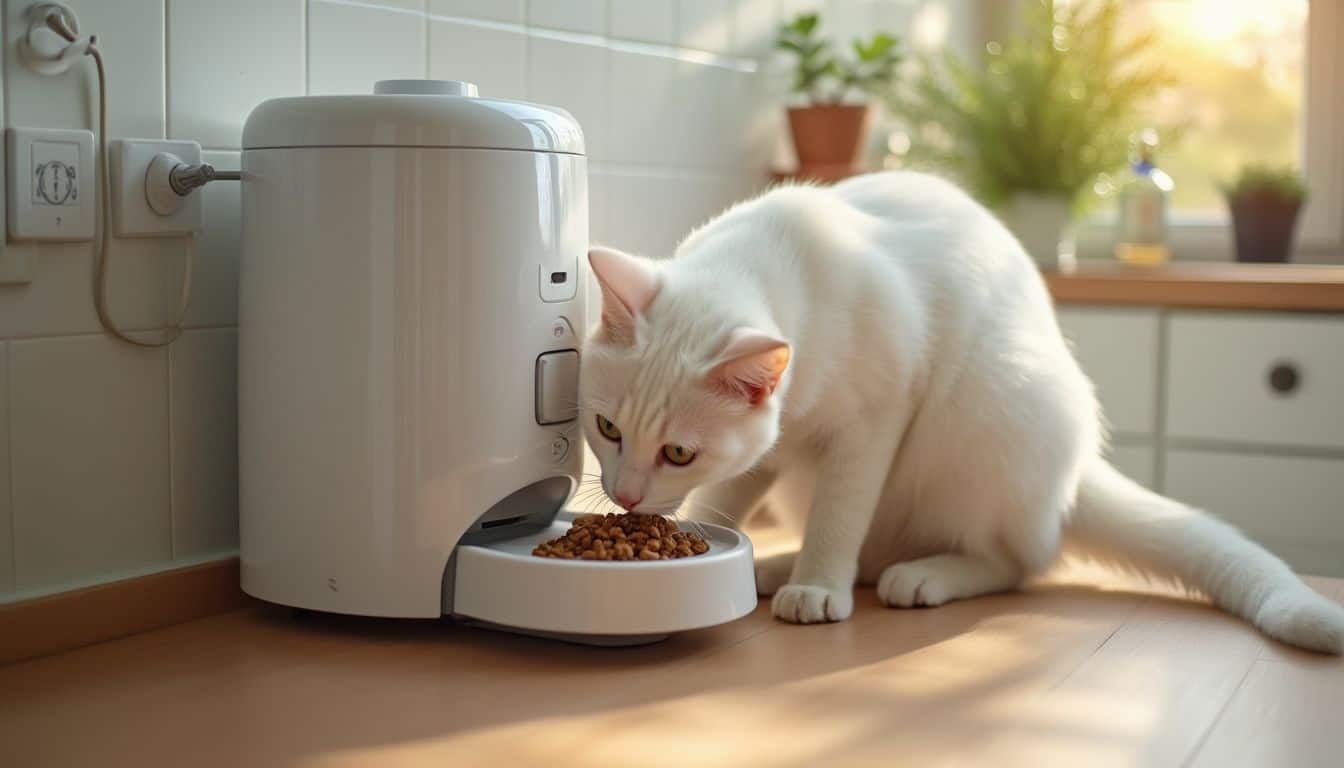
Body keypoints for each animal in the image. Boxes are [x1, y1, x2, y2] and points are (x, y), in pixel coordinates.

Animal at [583, 171, 1344, 650]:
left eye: (678, 451)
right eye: (607, 429)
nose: (626, 497)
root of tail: (1075, 475)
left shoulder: (873, 422)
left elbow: (840, 514)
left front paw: (818, 585)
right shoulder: (774, 447)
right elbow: (731, 497)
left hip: (993, 409)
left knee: (1016, 560)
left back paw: (916, 576)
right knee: (888, 548)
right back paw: (776, 569)